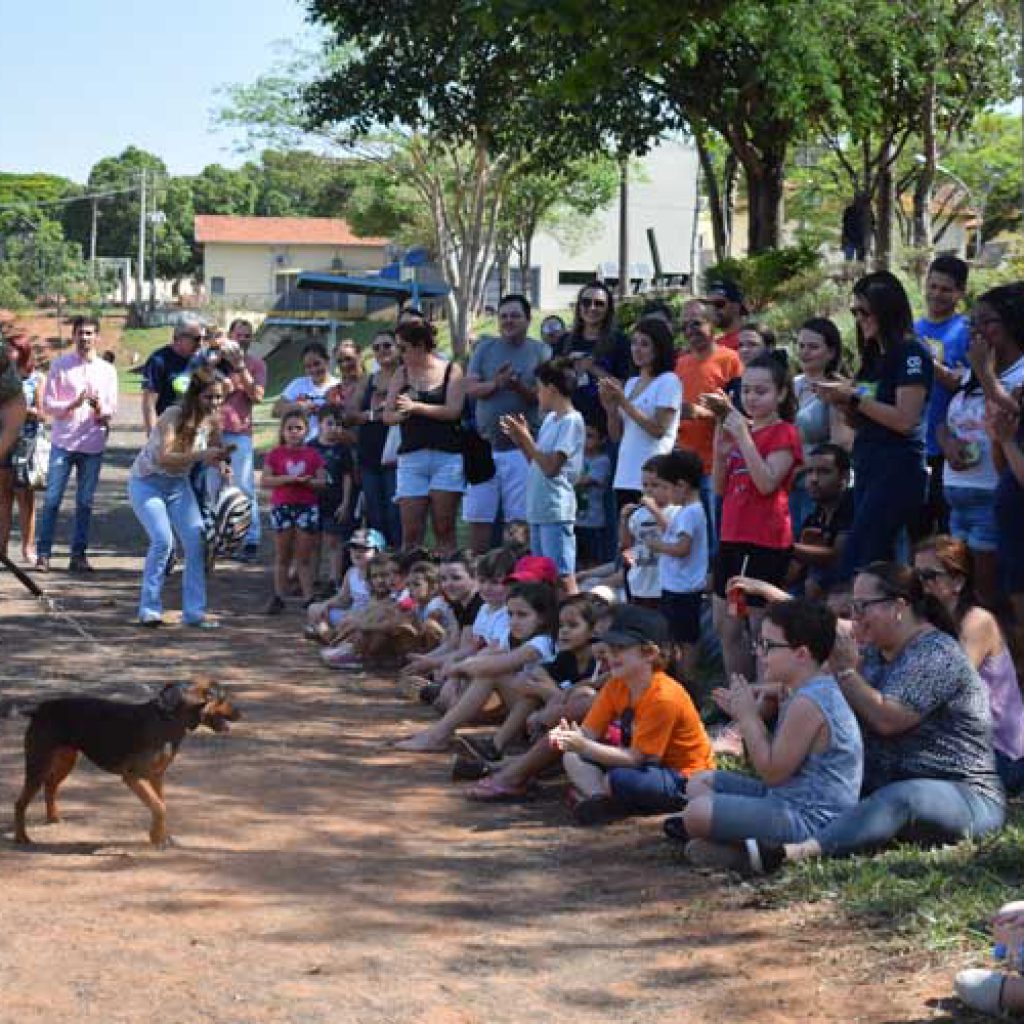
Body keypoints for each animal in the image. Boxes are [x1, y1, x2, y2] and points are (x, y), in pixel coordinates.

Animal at [10, 675, 237, 843]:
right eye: (223, 698)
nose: (241, 713)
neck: (167, 719)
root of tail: (38, 710)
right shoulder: (132, 777)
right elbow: (160, 806)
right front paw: (157, 838)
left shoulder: (157, 776)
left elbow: (160, 803)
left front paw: (161, 836)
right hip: (38, 764)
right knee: (20, 802)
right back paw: (22, 838)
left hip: (65, 760)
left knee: (50, 787)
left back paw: (53, 818)